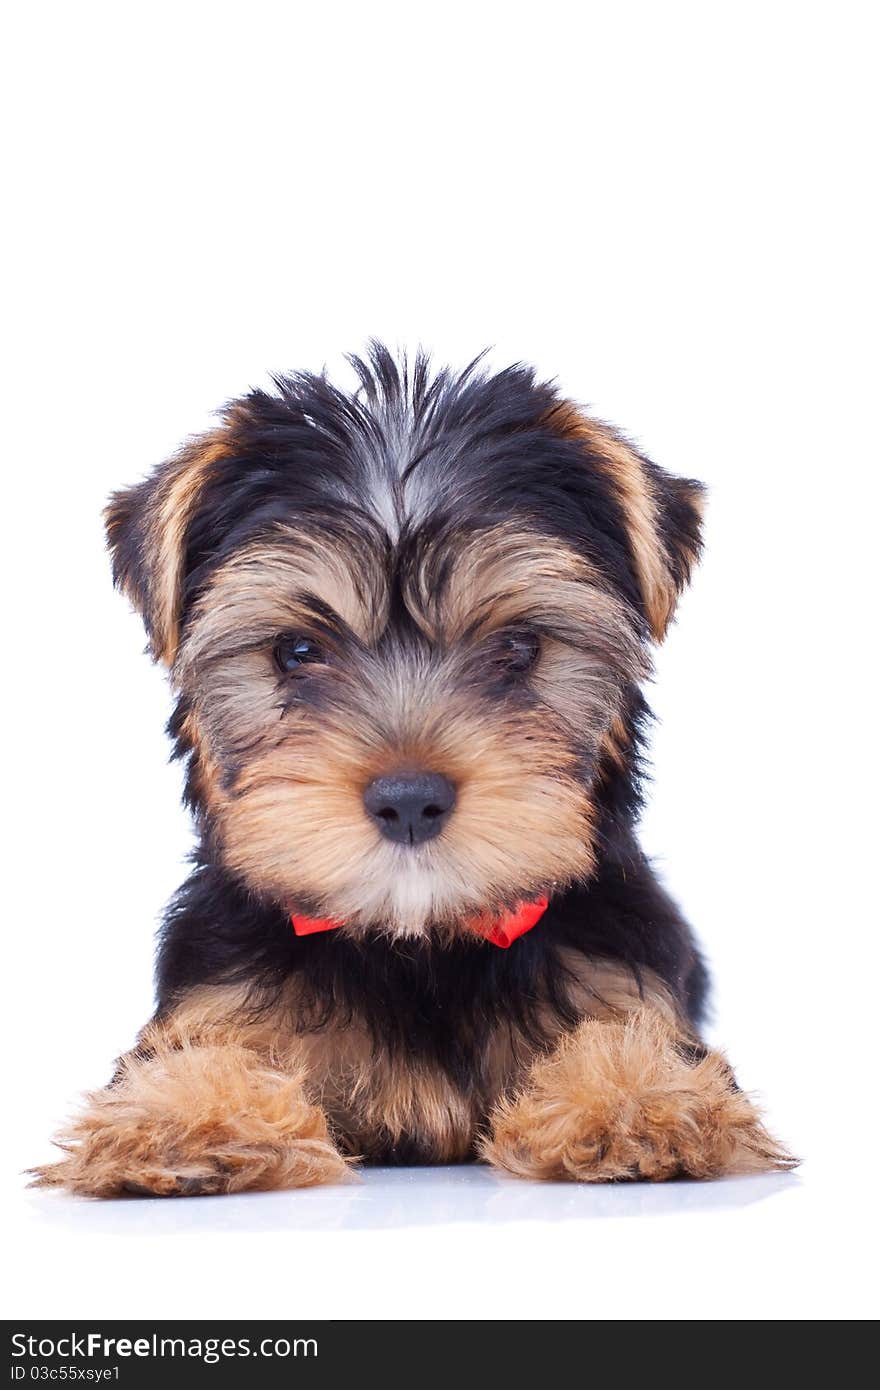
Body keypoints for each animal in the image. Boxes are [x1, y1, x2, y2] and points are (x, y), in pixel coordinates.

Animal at [34, 344, 795, 1195]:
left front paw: (634, 1096)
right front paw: (185, 1112)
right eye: (296, 651)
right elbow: (198, 1048)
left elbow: (640, 1039)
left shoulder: (622, 982)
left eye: (519, 647)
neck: (420, 943)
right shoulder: (219, 995)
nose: (408, 799)